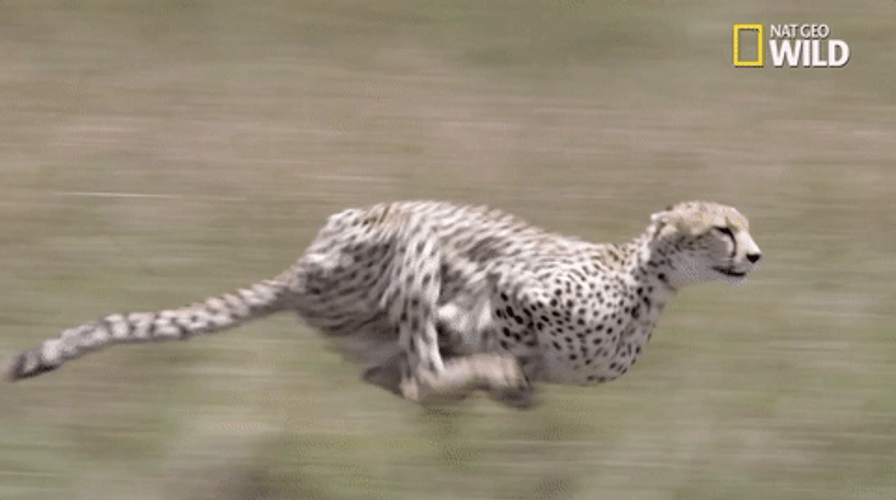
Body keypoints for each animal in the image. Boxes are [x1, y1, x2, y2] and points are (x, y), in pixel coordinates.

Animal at [5, 200, 761, 409]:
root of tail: (299, 266)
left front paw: (512, 390)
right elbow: (474, 318)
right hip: (407, 237)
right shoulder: (508, 285)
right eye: (723, 228)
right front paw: (498, 370)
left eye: (744, 226)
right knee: (421, 372)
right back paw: (481, 375)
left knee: (391, 375)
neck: (650, 282)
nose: (755, 255)